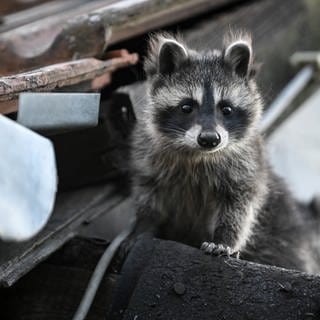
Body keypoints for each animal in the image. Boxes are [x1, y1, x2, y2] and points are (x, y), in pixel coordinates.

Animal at [130, 31, 320, 272]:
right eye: (186, 107)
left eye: (226, 109)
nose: (210, 139)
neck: (199, 155)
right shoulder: (149, 157)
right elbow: (149, 197)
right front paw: (143, 227)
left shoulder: (248, 165)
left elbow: (239, 206)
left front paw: (225, 239)